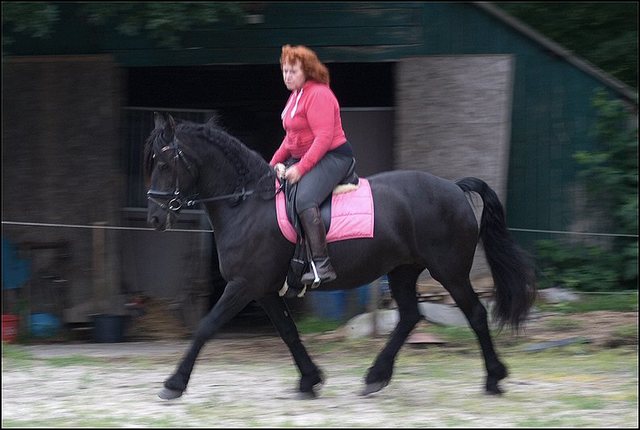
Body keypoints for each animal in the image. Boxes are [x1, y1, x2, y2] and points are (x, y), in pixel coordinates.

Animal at [144, 111, 536, 400]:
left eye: (163, 164)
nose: (155, 219)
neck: (247, 203)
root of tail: (453, 188)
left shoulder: (244, 285)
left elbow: (206, 326)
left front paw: (173, 384)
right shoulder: (264, 289)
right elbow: (288, 332)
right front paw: (310, 380)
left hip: (449, 271)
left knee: (475, 314)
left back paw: (494, 379)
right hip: (403, 270)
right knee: (410, 316)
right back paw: (376, 377)